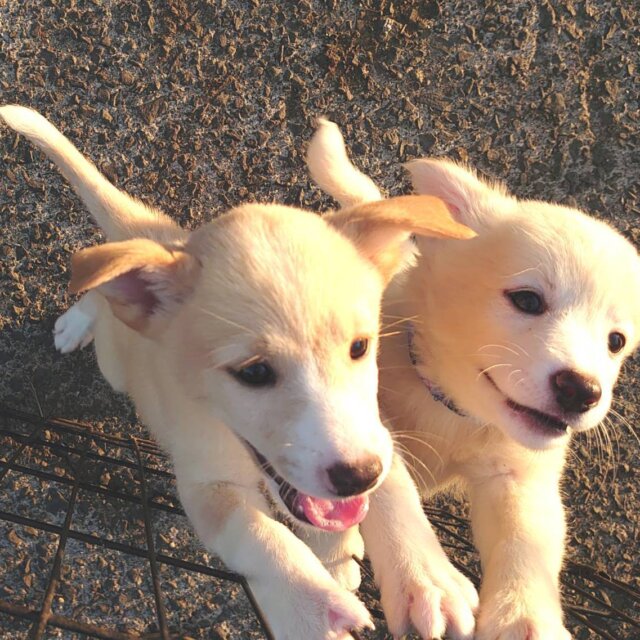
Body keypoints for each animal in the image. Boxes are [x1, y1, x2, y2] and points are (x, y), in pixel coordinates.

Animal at [0, 106, 479, 639]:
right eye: (254, 373)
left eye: (361, 347)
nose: (357, 477)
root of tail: (169, 241)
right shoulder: (205, 488)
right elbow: (261, 535)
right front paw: (311, 607)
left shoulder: (375, 429)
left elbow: (394, 483)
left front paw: (423, 576)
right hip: (113, 360)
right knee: (103, 298)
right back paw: (79, 319)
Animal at [308, 119, 640, 639]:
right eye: (527, 300)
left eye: (617, 341)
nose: (582, 391)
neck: (452, 412)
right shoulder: (360, 419)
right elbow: (389, 488)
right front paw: (424, 579)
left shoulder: (519, 473)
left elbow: (526, 544)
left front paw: (525, 618)